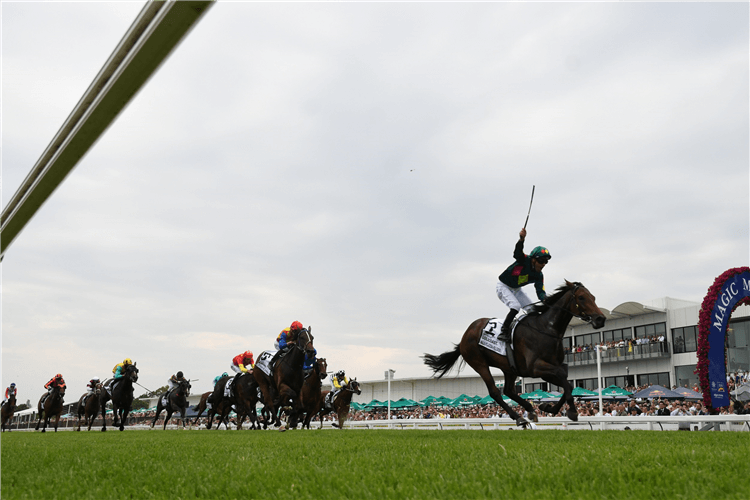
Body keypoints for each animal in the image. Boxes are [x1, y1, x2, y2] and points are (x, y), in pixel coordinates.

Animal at [426, 282, 608, 426]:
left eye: (593, 297)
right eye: (582, 298)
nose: (600, 319)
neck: (546, 329)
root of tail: (465, 335)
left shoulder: (547, 370)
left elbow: (567, 384)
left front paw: (548, 407)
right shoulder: (536, 368)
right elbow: (563, 378)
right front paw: (571, 411)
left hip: (508, 367)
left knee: (508, 390)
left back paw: (529, 410)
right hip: (479, 362)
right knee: (495, 392)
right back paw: (518, 417)